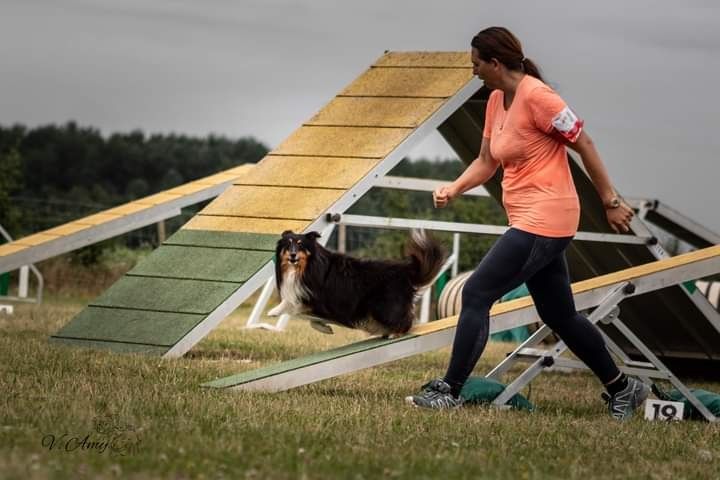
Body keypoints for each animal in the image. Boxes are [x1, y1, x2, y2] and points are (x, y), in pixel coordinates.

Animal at [268, 230, 444, 336]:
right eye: (288, 244)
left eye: (300, 245)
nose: (292, 255)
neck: (304, 268)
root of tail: (404, 270)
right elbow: (305, 315)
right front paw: (325, 328)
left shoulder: (316, 298)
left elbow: (294, 307)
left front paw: (274, 311)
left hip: (384, 307)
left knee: (405, 319)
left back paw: (395, 332)